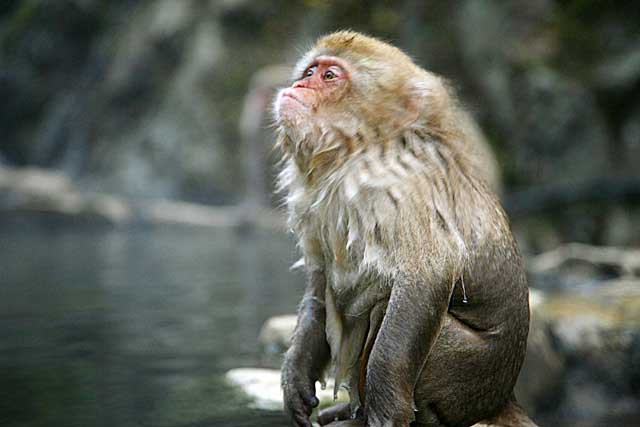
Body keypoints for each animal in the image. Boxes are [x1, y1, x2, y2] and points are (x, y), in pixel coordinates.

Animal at [272, 30, 536, 427]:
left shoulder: (404, 188)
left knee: (384, 306)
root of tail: (502, 398)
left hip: (467, 378)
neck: (355, 153)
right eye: (309, 71)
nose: (298, 85)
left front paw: (386, 411)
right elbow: (319, 282)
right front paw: (296, 374)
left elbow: (426, 275)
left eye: (329, 76)